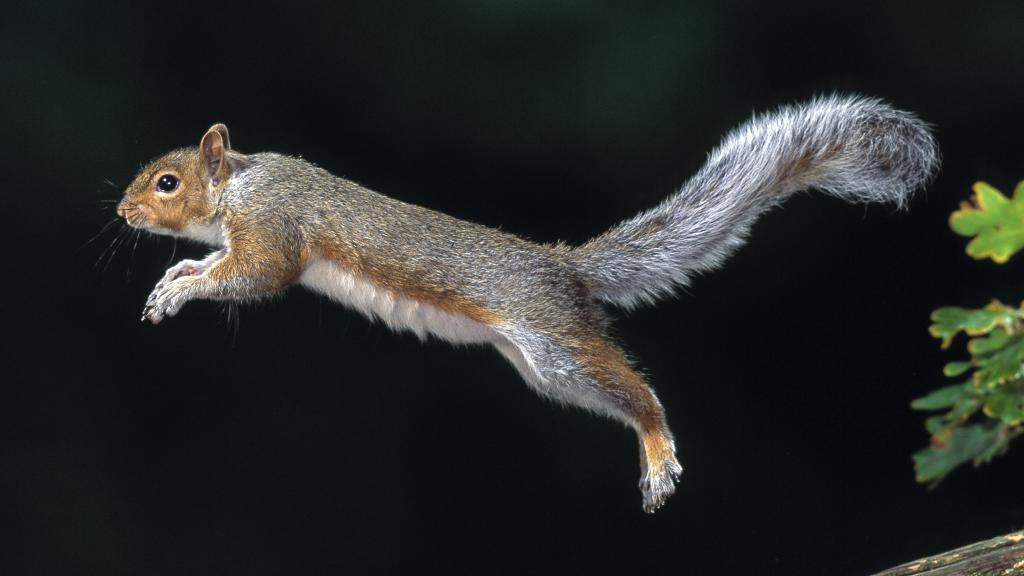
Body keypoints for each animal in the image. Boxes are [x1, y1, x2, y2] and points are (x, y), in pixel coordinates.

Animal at [117, 95, 939, 513]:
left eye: (167, 182)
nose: (123, 211)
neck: (241, 184)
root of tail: (563, 269)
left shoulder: (275, 233)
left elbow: (252, 276)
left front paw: (182, 286)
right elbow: (216, 264)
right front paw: (176, 275)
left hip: (555, 345)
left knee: (640, 394)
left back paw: (659, 454)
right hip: (542, 370)